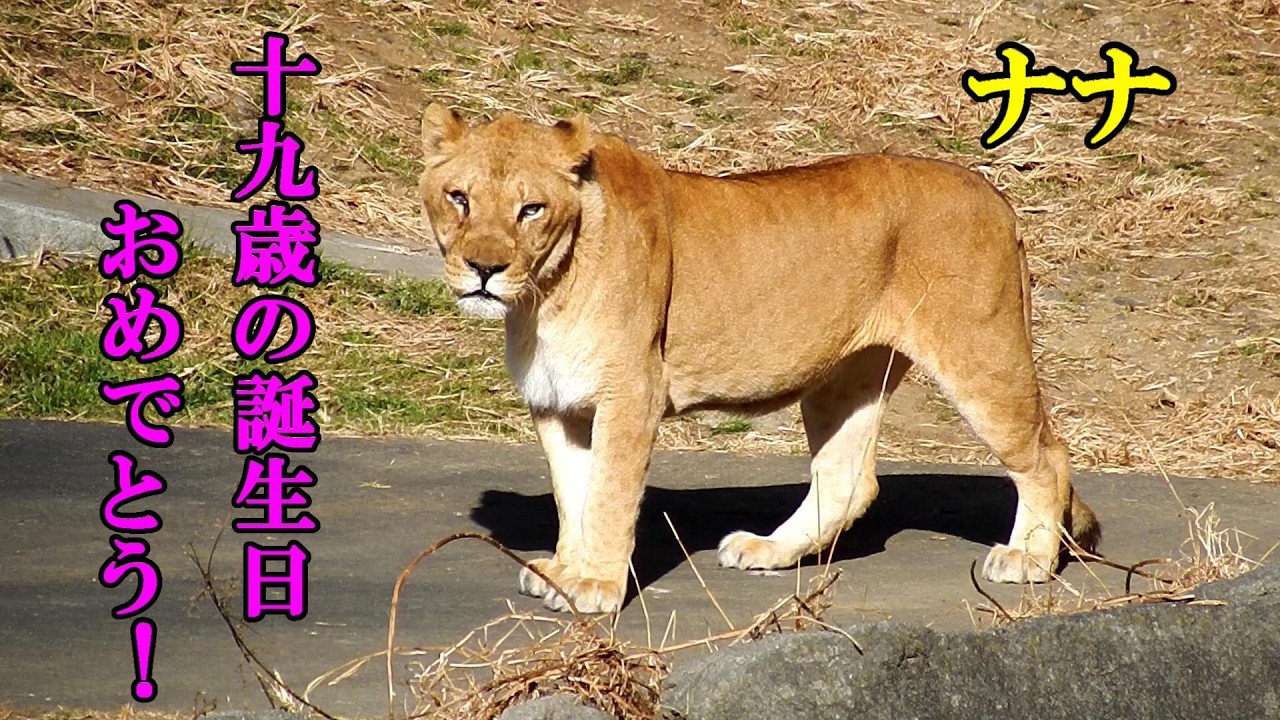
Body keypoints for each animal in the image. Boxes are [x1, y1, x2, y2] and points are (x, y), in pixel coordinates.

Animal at [417, 104, 1100, 614]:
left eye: (530, 208)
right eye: (459, 198)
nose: (483, 269)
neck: (544, 297)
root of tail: (994, 193)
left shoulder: (630, 394)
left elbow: (607, 496)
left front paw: (595, 586)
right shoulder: (558, 404)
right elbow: (571, 495)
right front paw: (563, 570)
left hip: (981, 352)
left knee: (1046, 454)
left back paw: (1029, 559)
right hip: (844, 378)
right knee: (848, 478)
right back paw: (769, 550)